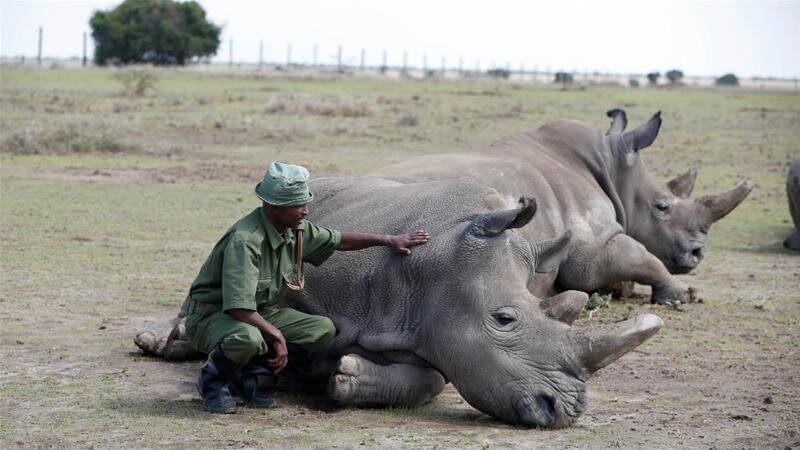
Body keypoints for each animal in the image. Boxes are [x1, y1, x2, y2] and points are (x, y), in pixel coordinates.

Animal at [136, 176, 663, 428]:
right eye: (504, 319)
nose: (566, 411)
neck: (439, 263)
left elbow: (431, 379)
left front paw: (344, 378)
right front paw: (291, 371)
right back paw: (162, 343)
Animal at [374, 109, 753, 304]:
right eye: (662, 207)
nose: (697, 253)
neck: (612, 166)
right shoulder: (593, 244)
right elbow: (642, 257)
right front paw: (680, 296)